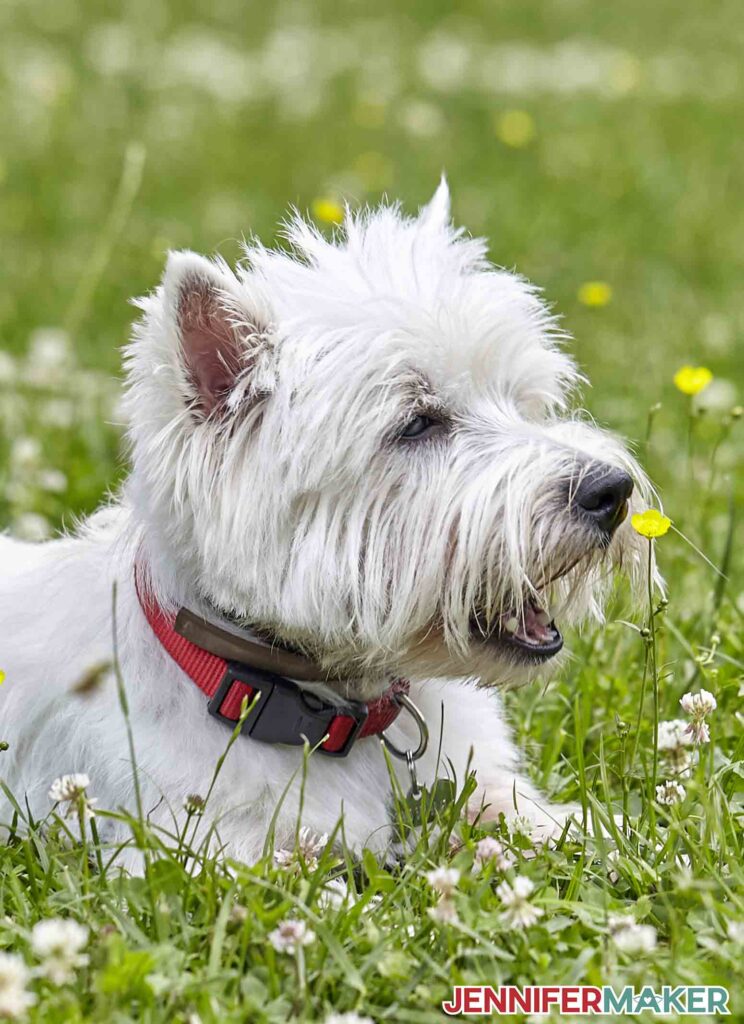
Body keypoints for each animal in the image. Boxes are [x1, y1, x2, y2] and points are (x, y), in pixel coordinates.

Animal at [0, 184, 650, 864]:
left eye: (521, 401)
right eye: (417, 424)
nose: (611, 491)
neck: (333, 715)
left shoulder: (476, 778)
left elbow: (541, 817)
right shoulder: (199, 844)